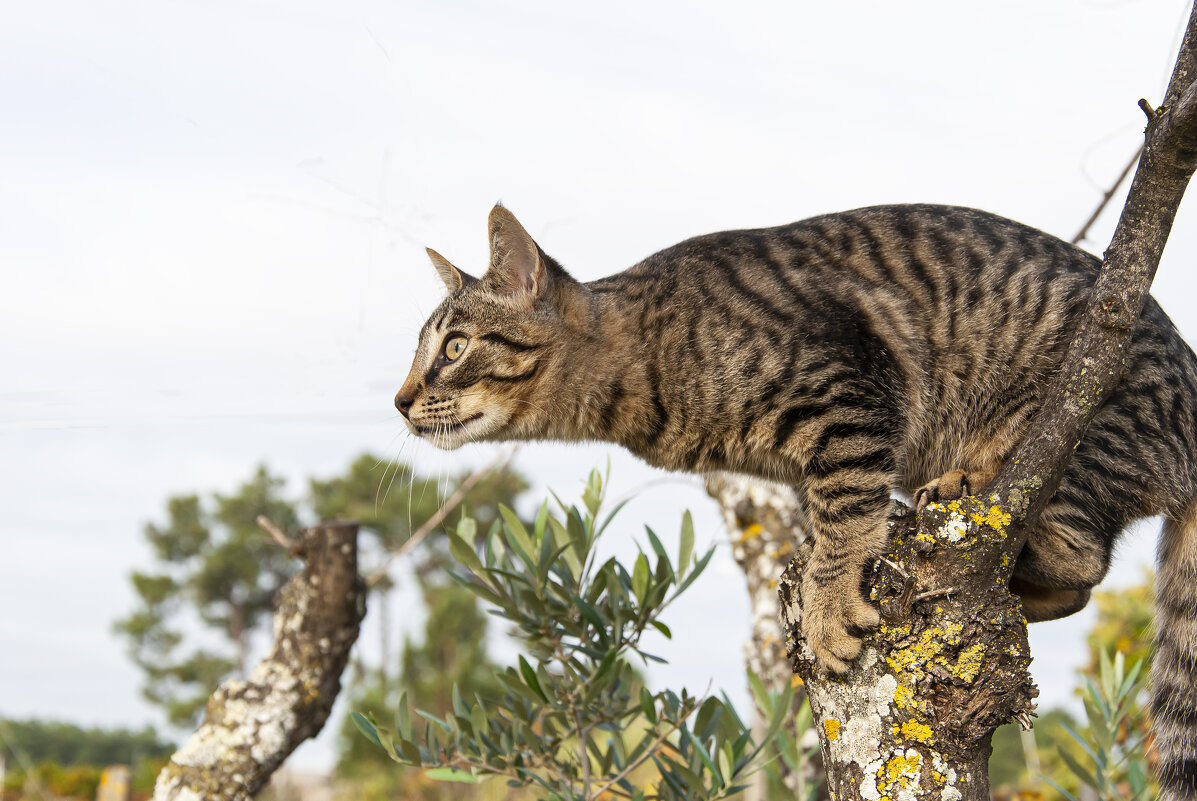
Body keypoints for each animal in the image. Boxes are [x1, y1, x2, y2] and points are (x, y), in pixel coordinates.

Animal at [395, 201, 1197, 799]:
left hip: (1084, 431)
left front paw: (828, 602)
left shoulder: (847, 392)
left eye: (455, 347)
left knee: (1081, 556)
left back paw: (979, 489)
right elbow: (827, 513)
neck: (643, 362)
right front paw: (817, 574)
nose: (401, 399)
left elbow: (846, 510)